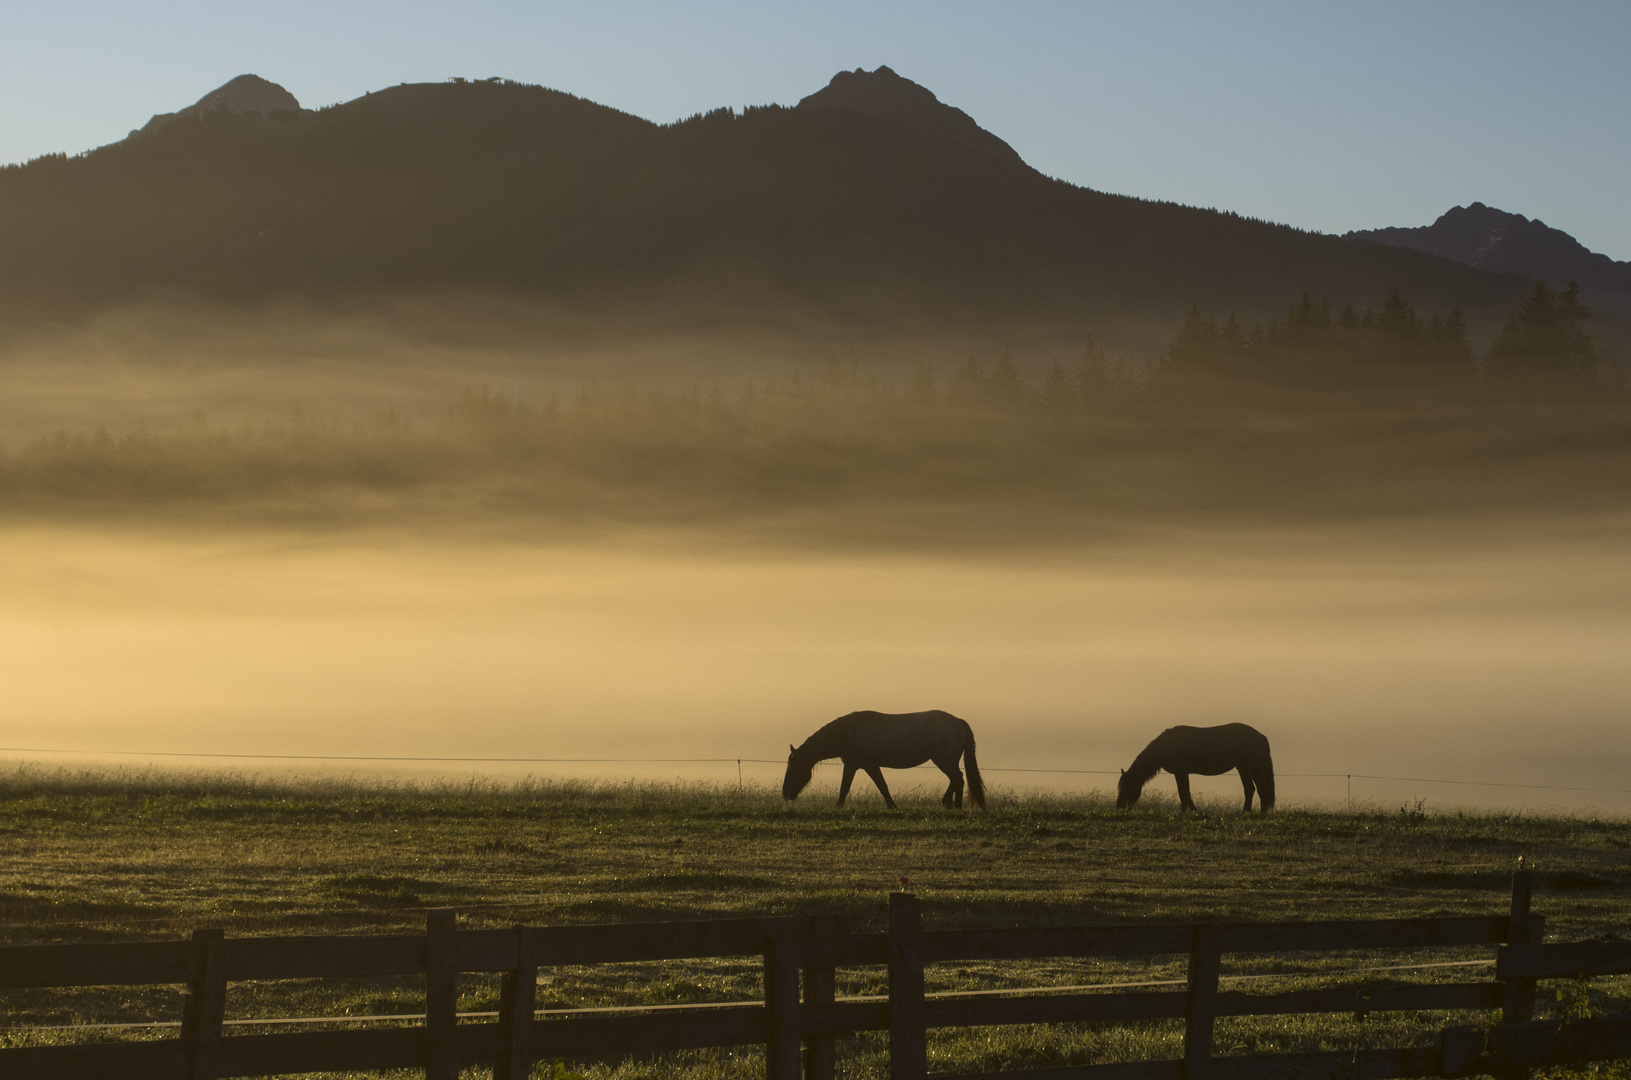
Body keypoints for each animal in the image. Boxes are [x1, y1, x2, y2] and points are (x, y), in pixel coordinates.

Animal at [782, 711, 985, 812]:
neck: (849, 733)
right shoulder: (851, 765)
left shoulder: (870, 765)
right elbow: (844, 788)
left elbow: (882, 786)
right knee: (957, 779)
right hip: (947, 761)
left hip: (944, 760)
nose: (785, 794)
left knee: (958, 779)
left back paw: (952, 804)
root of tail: (959, 722)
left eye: (793, 769)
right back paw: (953, 804)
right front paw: (838, 806)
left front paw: (892, 806)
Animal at [1115, 727, 1278, 812]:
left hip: (1251, 766)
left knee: (1261, 789)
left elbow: (1184, 792)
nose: (1119, 807)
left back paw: (1260, 813)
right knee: (1251, 789)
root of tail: (1261, 736)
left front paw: (1190, 811)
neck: (1167, 745)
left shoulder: (1181, 771)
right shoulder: (1179, 773)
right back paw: (1247, 812)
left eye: (1127, 787)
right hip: (1243, 767)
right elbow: (1183, 792)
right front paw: (1186, 811)